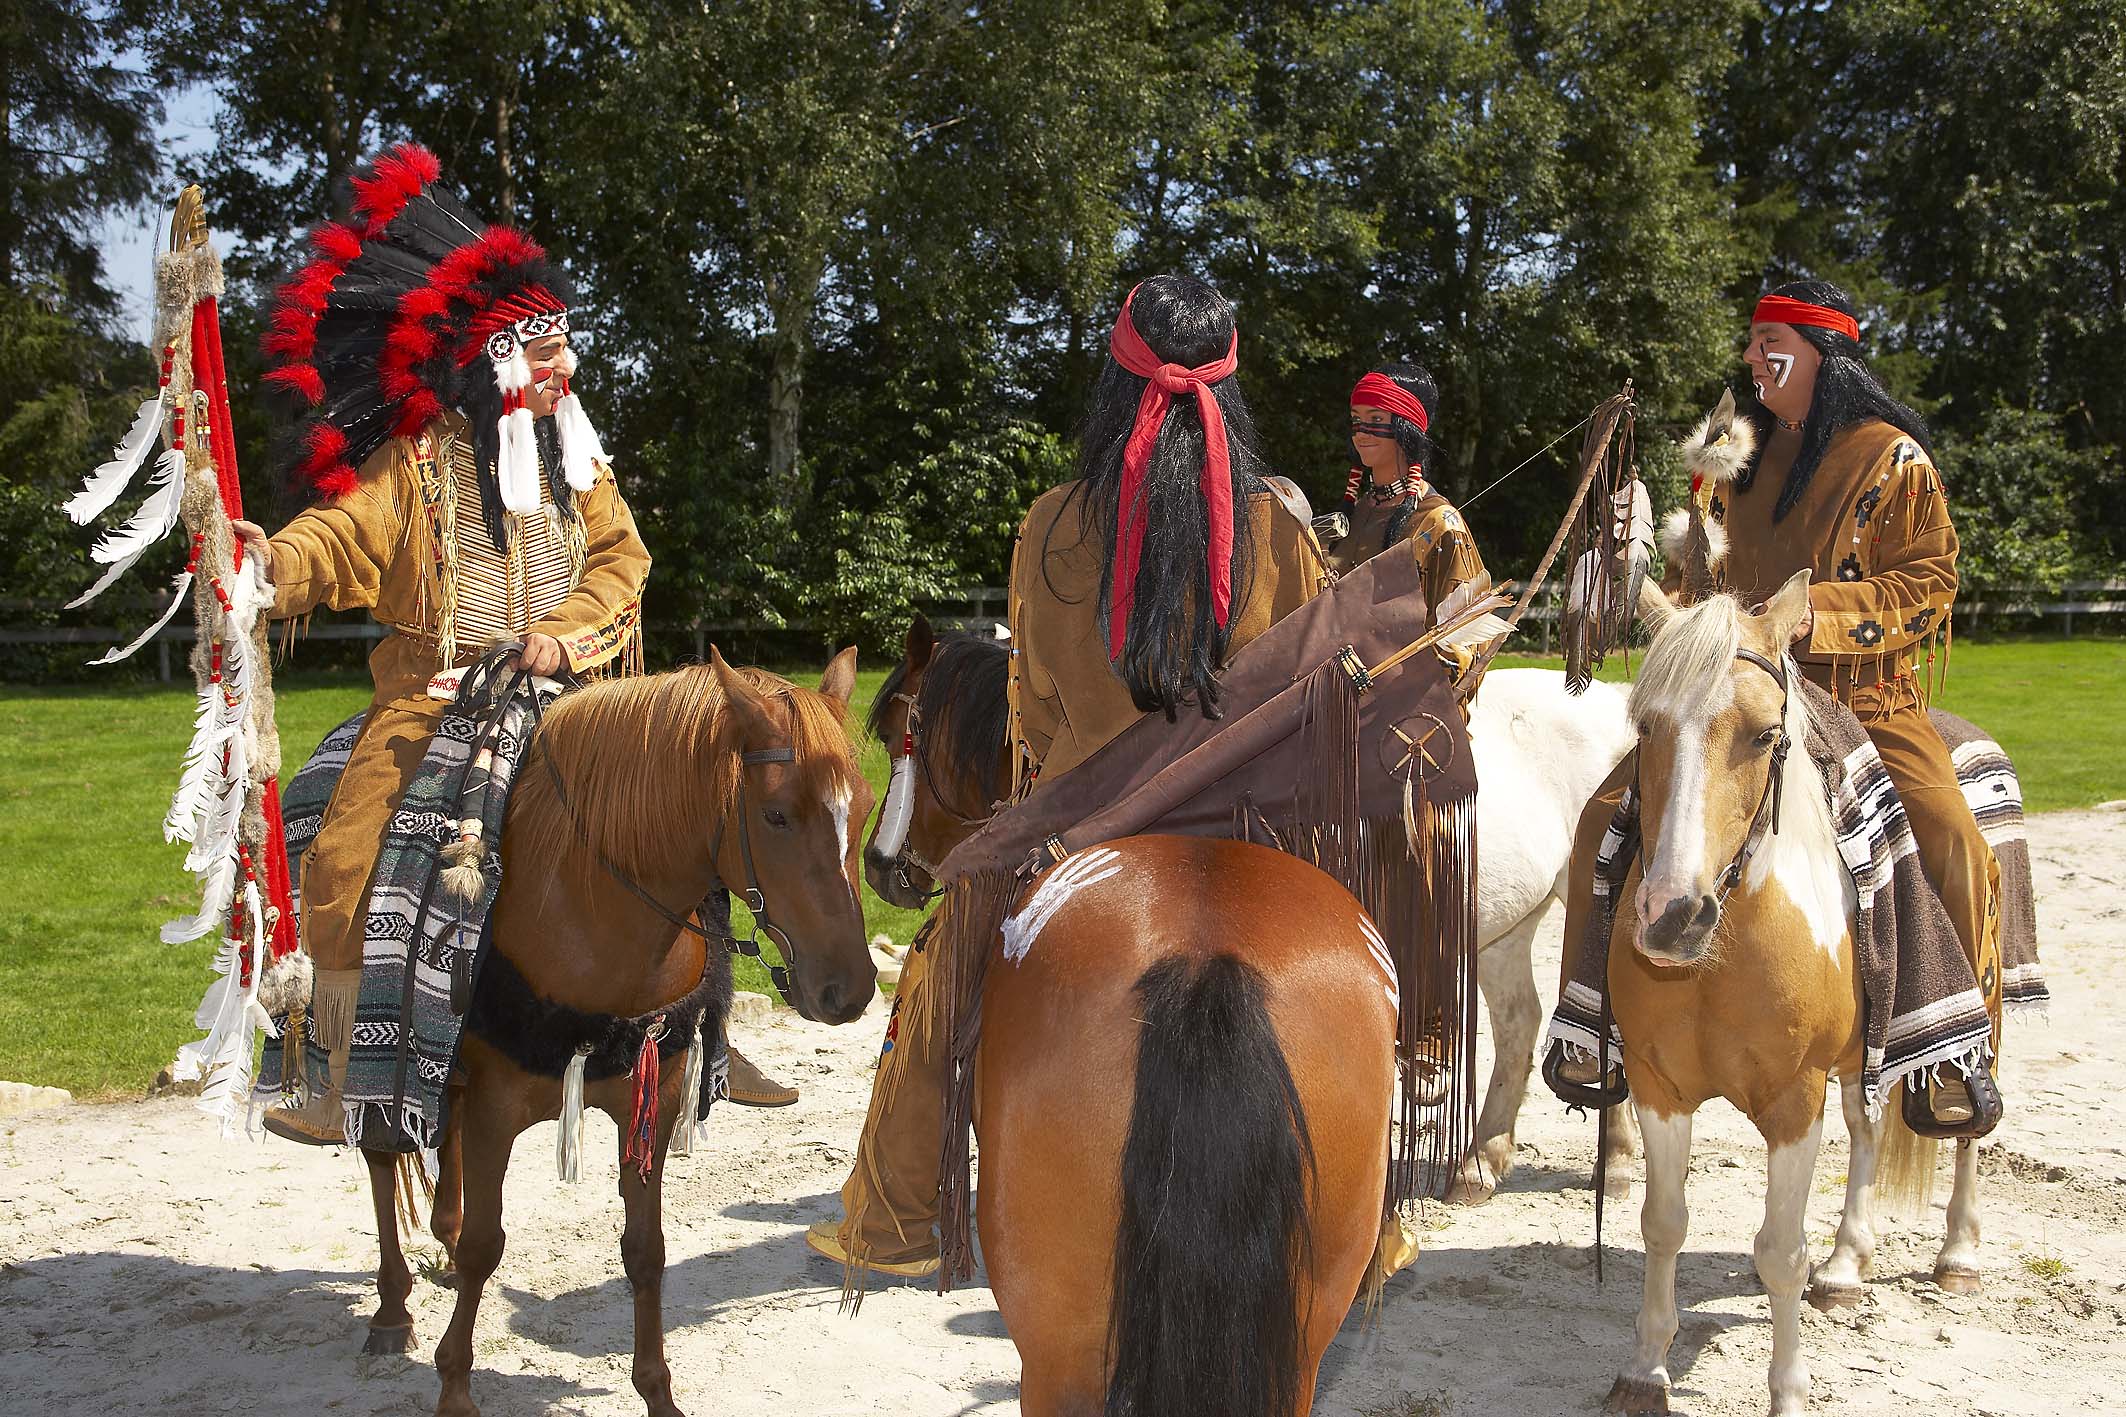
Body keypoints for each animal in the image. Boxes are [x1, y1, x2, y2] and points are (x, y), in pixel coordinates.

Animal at [333, 648, 876, 1417]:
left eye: (864, 803)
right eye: (775, 814)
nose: (849, 989)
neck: (586, 898)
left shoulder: (650, 1097)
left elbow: (645, 1249)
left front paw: (658, 1392)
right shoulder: (498, 1107)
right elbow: (485, 1246)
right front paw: (455, 1387)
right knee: (384, 1161)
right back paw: (391, 1307)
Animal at [862, 616, 1640, 1204]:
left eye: (904, 733)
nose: (877, 864)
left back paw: (1618, 1162)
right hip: (1505, 929)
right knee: (1520, 1022)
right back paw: (1482, 1161)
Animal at [1601, 574, 1984, 1416]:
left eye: (1763, 734)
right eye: (1645, 726)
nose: (1672, 915)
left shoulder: (1792, 1103)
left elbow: (1779, 1251)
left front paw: (1787, 1391)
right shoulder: (1659, 1086)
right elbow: (1663, 1223)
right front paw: (1644, 1369)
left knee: (1970, 1130)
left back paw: (1959, 1250)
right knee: (1867, 1127)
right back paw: (1845, 1263)